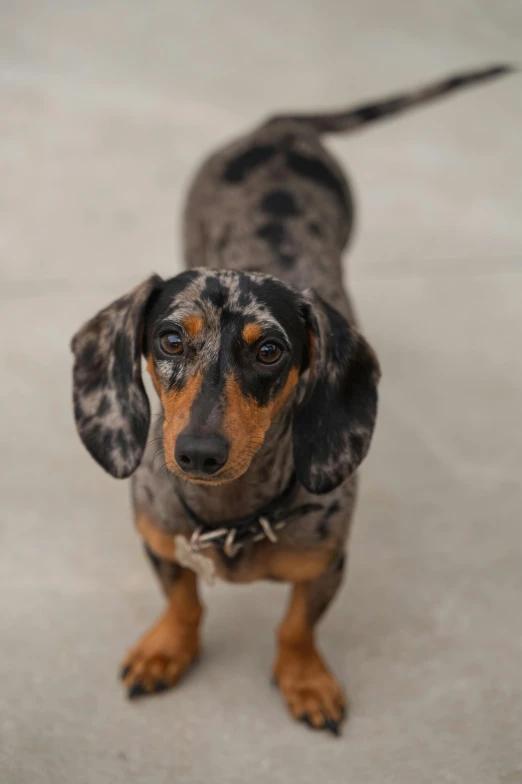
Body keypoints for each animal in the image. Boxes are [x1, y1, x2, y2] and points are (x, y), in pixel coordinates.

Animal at [70, 62, 512, 736]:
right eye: (170, 339)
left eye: (270, 351)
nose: (199, 453)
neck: (233, 517)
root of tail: (278, 127)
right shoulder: (159, 540)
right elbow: (184, 599)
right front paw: (166, 649)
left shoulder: (328, 563)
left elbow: (297, 625)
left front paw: (306, 681)